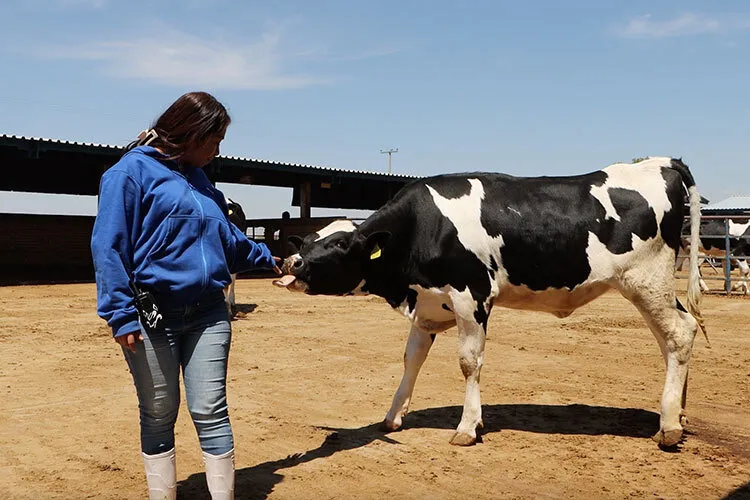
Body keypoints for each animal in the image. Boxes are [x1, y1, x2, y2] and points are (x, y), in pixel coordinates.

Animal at [274, 157, 706, 449]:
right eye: (308, 239)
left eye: (340, 244)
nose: (291, 262)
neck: (423, 226)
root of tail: (661, 162)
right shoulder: (428, 304)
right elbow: (412, 358)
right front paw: (393, 416)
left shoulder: (472, 296)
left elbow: (469, 362)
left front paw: (468, 427)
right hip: (650, 289)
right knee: (672, 339)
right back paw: (678, 412)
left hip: (647, 282)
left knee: (680, 333)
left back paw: (669, 426)